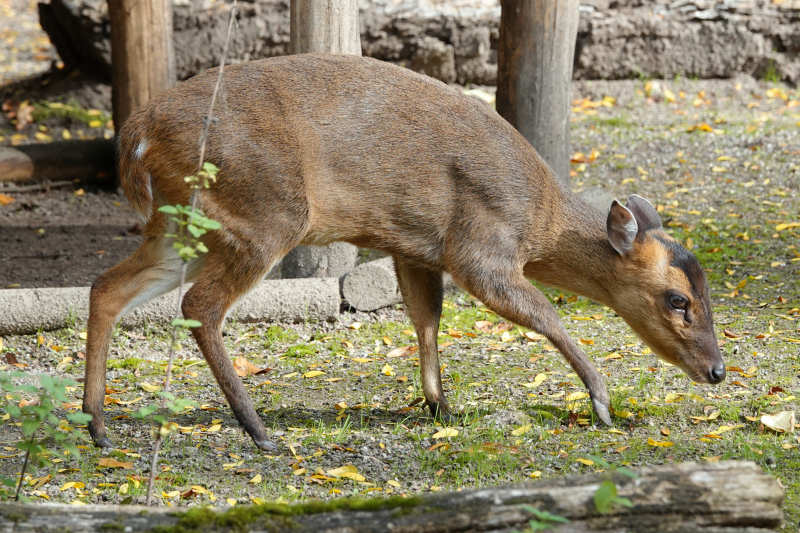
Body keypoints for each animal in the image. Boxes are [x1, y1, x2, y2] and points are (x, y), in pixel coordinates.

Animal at [84, 54, 728, 450]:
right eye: (677, 299)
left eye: (707, 292)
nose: (717, 371)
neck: (539, 223)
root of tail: (136, 136)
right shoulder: (480, 248)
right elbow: (545, 315)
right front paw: (601, 401)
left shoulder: (417, 249)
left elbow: (425, 317)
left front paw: (440, 405)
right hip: (264, 212)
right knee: (199, 304)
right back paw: (260, 430)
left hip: (182, 225)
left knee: (107, 287)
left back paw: (97, 425)